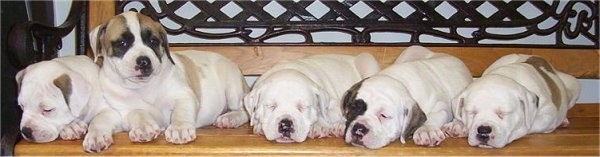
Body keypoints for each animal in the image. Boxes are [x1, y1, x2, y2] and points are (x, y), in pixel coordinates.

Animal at [86, 10, 248, 151]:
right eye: (122, 43)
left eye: (153, 41)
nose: (144, 61)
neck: (143, 87)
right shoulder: (124, 110)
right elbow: (138, 112)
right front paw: (144, 128)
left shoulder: (183, 95)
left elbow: (180, 112)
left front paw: (179, 128)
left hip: (233, 88)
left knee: (244, 109)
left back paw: (230, 118)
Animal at [342, 45, 474, 150]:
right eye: (353, 108)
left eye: (383, 116)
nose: (359, 129)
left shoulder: (442, 107)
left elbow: (433, 116)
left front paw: (426, 130)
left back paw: (457, 126)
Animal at [442, 54, 580, 148]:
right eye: (472, 112)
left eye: (502, 113)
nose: (483, 130)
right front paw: (458, 125)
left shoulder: (548, 114)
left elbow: (529, 125)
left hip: (574, 84)